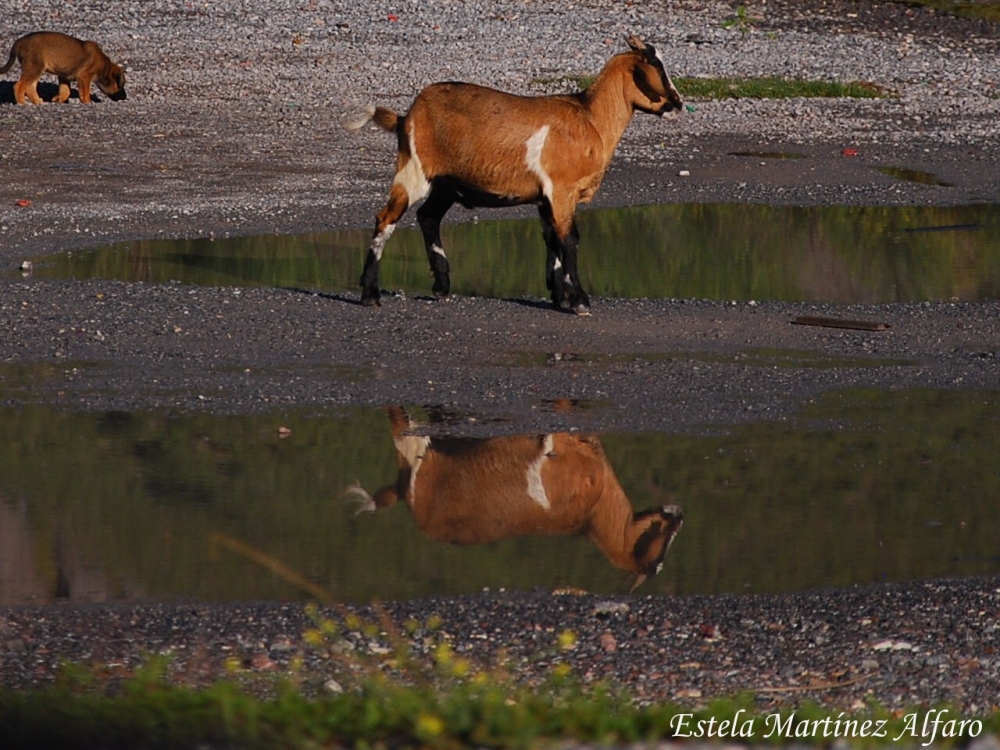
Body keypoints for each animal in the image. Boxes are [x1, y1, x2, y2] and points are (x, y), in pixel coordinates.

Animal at [344, 36, 680, 314]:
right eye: (657, 67)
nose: (677, 103)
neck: (591, 118)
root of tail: (406, 117)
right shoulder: (561, 190)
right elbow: (569, 239)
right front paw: (580, 301)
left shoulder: (546, 197)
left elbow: (552, 240)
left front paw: (559, 296)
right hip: (414, 169)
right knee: (386, 218)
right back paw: (370, 294)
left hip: (446, 183)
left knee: (428, 216)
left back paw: (441, 286)